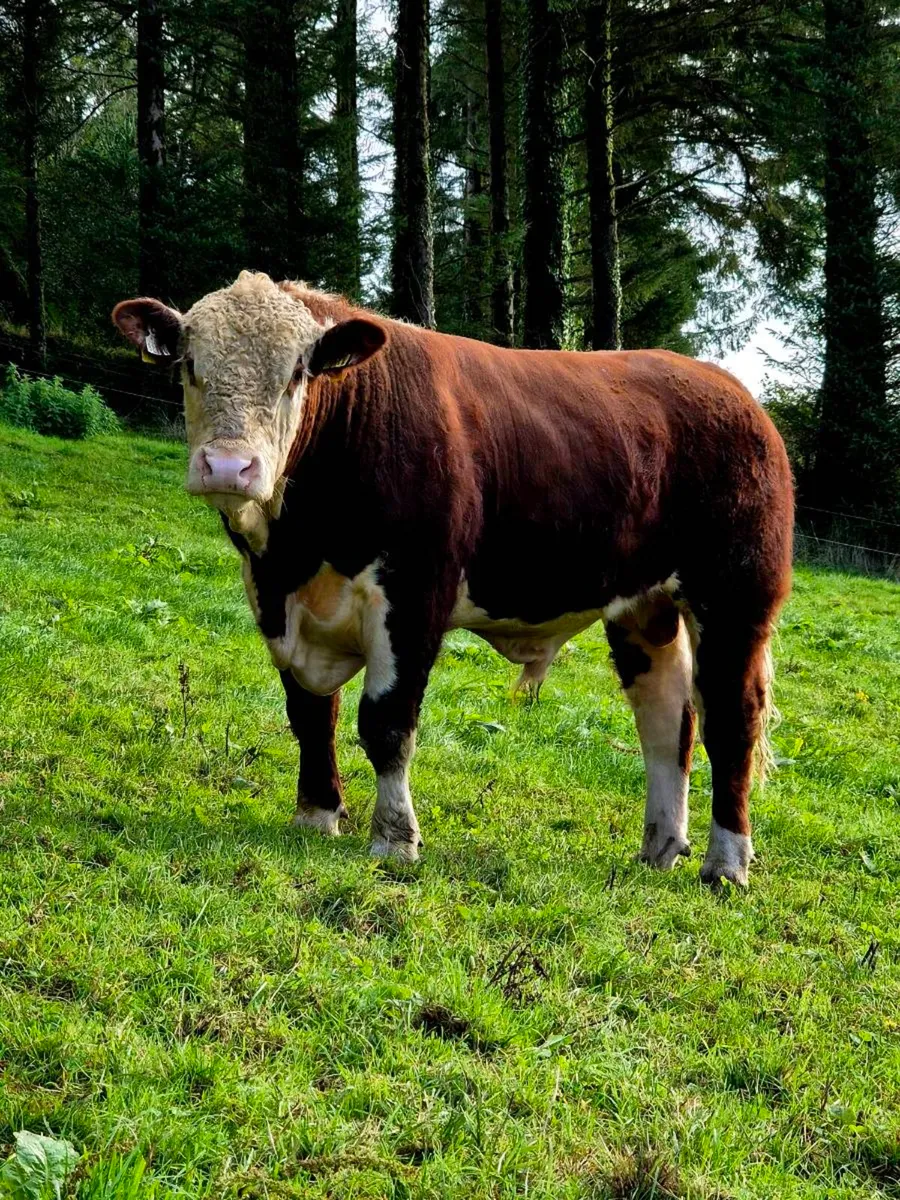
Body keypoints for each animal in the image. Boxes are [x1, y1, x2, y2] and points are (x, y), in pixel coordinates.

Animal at [113, 270, 793, 886]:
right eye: (190, 365)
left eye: (298, 374)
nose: (229, 466)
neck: (298, 549)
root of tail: (730, 390)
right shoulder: (277, 602)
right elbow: (309, 712)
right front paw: (316, 814)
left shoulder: (414, 595)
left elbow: (385, 723)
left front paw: (394, 839)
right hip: (642, 606)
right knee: (666, 718)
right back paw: (659, 847)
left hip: (735, 596)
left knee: (731, 719)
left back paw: (725, 864)